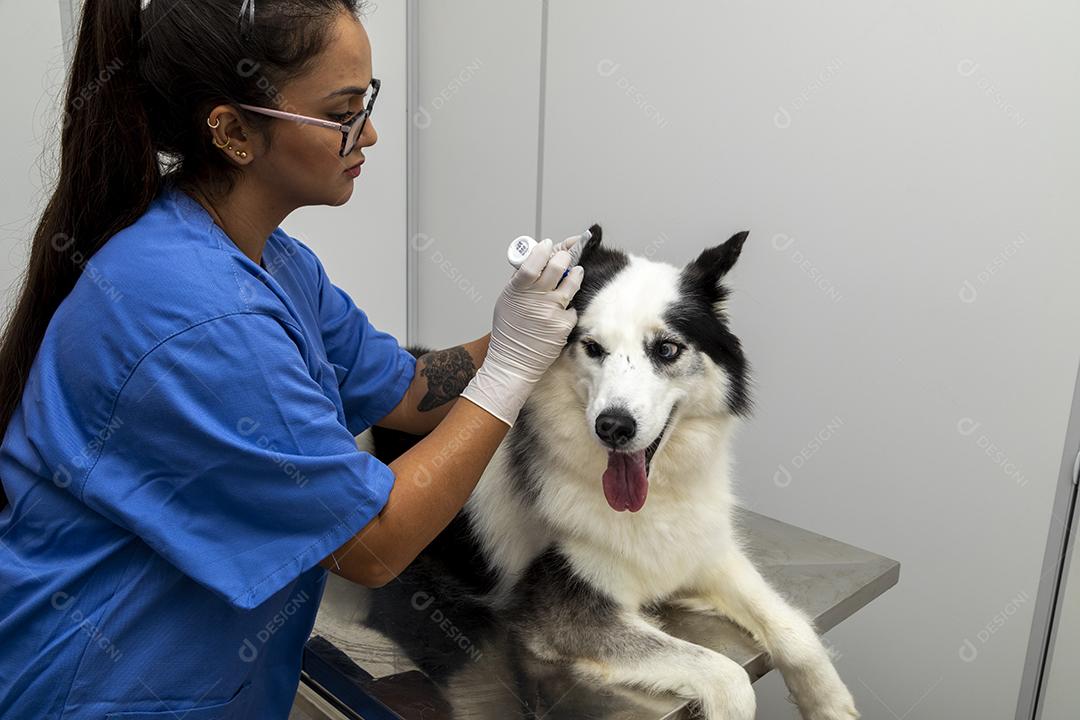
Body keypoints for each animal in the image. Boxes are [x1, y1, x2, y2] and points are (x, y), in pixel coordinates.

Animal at [367, 226, 855, 720]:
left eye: (666, 349)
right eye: (592, 348)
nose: (613, 427)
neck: (654, 502)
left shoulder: (706, 553)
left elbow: (796, 630)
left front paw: (829, 704)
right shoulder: (565, 616)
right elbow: (727, 674)